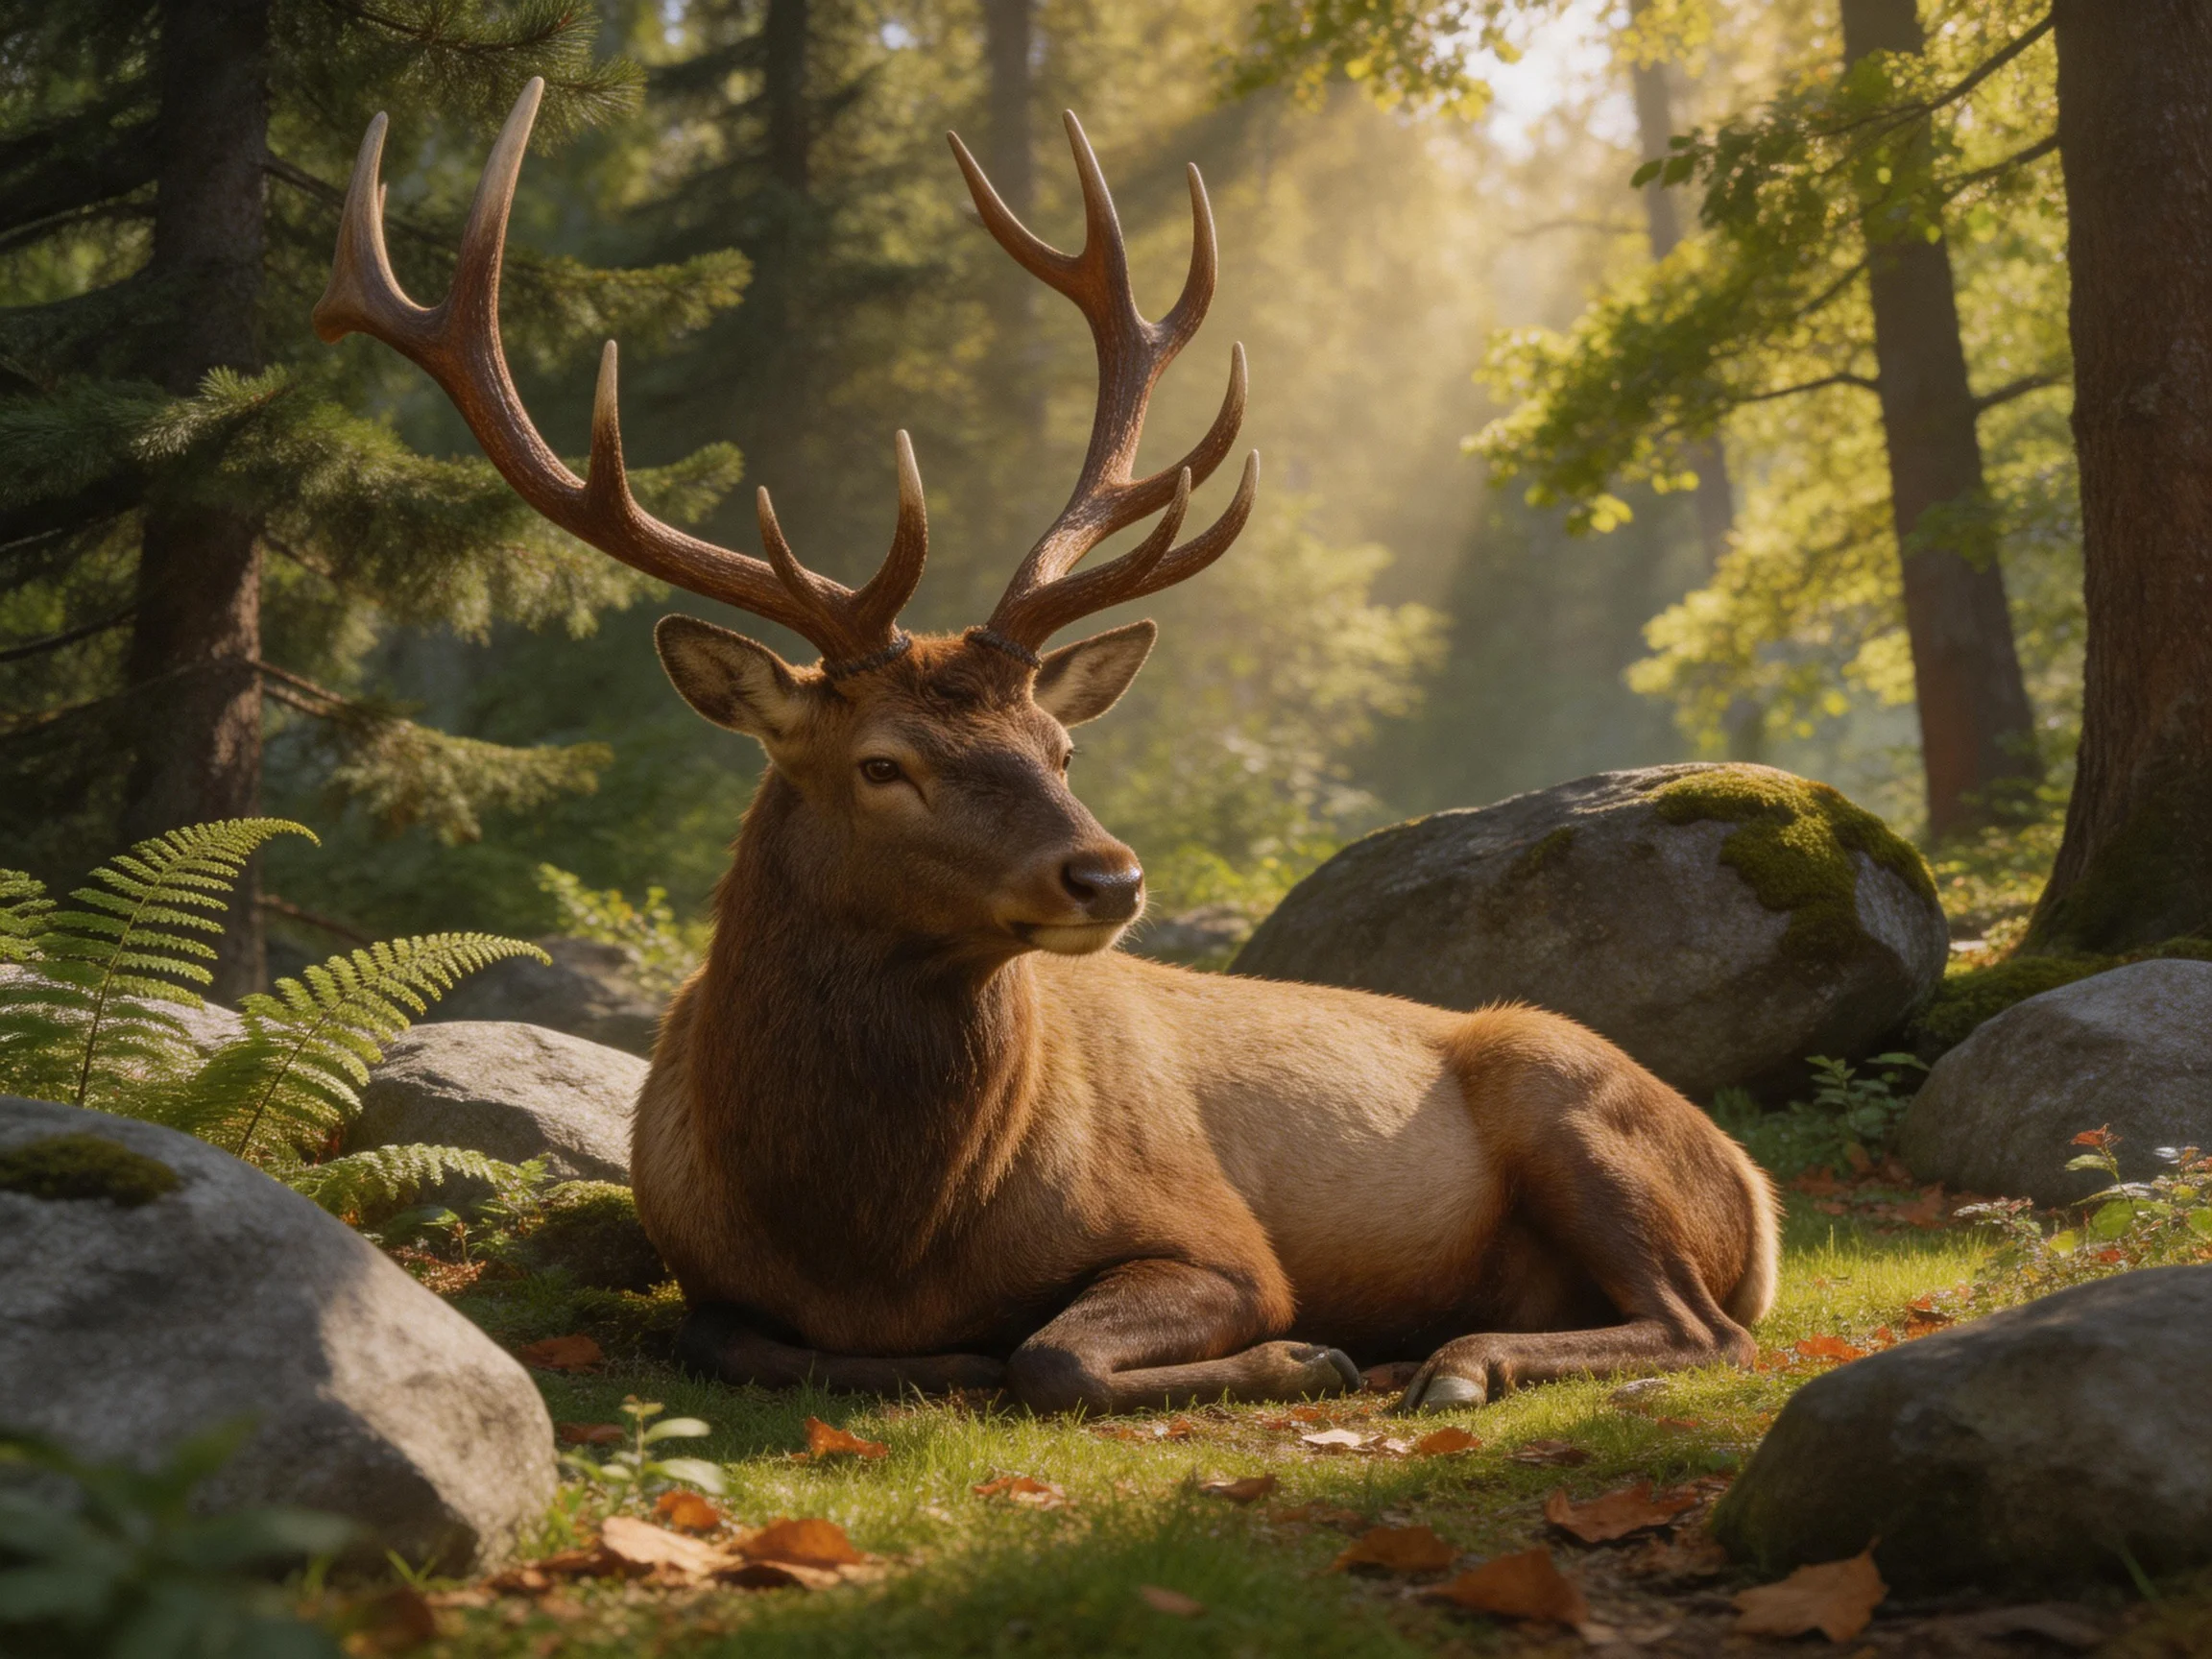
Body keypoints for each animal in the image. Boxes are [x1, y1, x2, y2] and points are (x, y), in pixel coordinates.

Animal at [317, 80, 1779, 1416]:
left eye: (1059, 745)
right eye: (882, 764)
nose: (1108, 878)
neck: (870, 1241)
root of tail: (1760, 1201)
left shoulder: (1222, 1238)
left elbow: (1055, 1355)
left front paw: (1301, 1352)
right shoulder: (703, 1271)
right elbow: (744, 1342)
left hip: (1568, 1092)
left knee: (1704, 1328)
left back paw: (1456, 1361)